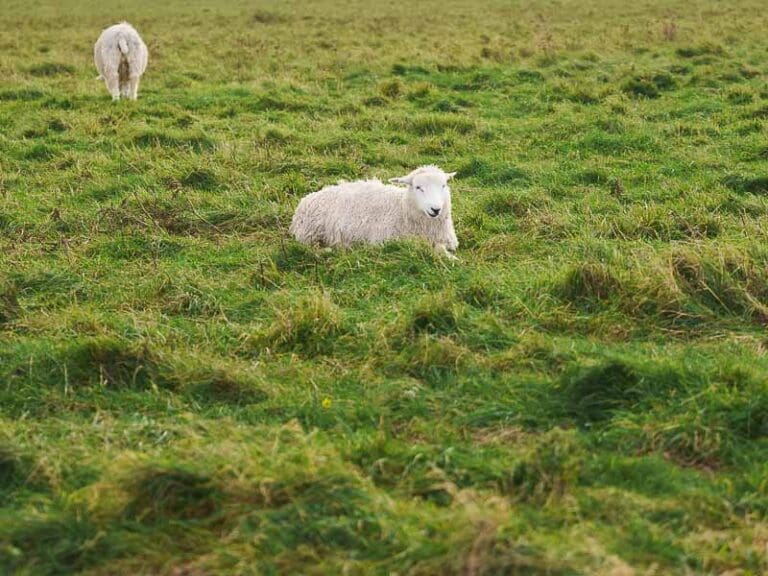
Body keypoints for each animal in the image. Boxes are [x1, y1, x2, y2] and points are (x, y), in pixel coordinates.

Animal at [290, 165, 459, 258]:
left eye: (443, 185)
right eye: (418, 187)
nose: (436, 209)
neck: (401, 208)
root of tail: (307, 198)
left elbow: (440, 248)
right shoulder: (386, 242)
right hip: (310, 235)